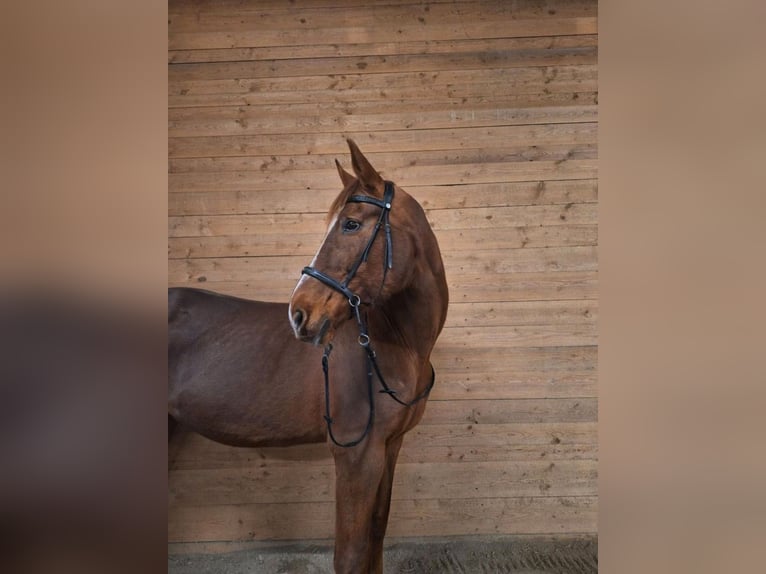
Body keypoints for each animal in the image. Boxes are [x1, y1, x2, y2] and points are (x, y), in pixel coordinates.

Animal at [168, 139, 449, 573]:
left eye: (350, 224)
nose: (299, 314)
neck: (393, 345)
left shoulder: (390, 446)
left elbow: (377, 534)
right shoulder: (355, 454)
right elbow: (350, 553)